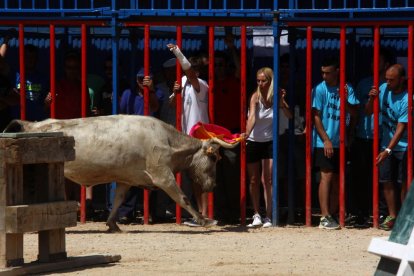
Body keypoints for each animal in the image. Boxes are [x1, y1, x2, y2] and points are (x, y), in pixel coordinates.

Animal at [3, 113, 238, 231]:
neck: (168, 140)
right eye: (214, 158)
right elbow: (182, 198)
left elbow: (118, 199)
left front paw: (112, 223)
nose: (212, 186)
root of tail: (32, 125)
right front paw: (205, 220)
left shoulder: (127, 179)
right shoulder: (162, 175)